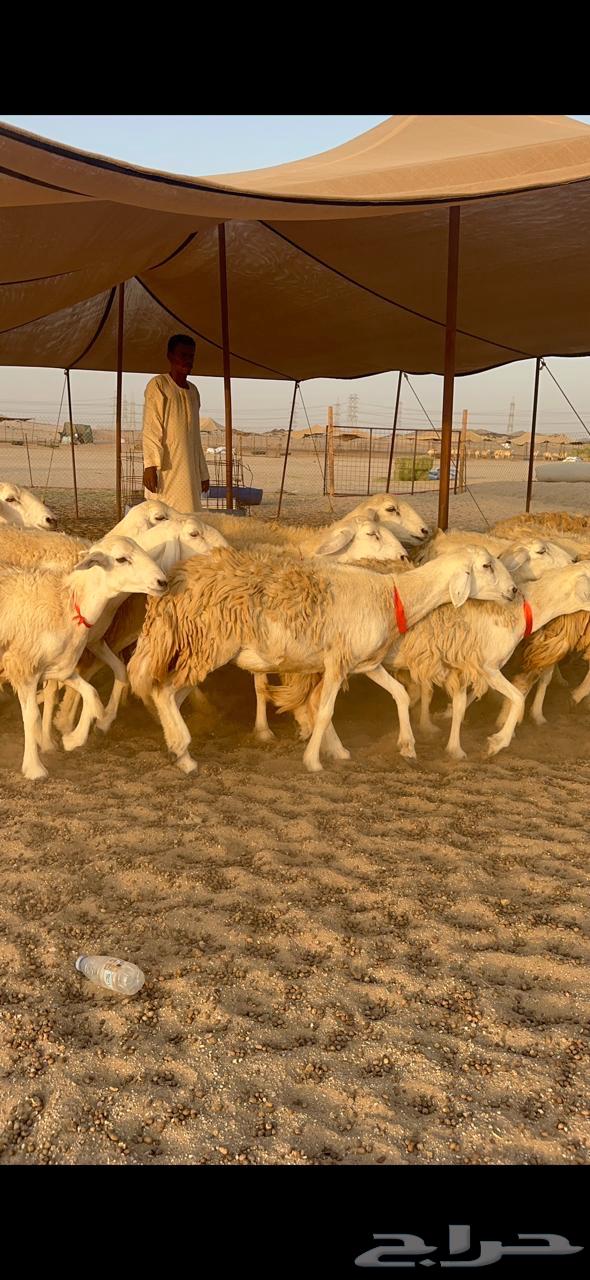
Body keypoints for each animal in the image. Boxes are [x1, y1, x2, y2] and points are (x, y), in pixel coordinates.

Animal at [0, 536, 168, 780]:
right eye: (121, 559)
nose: (163, 582)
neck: (67, 604)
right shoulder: (23, 665)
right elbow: (32, 716)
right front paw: (34, 767)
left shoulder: (60, 667)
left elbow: (91, 692)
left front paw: (77, 736)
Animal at [127, 545, 518, 776]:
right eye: (487, 565)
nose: (514, 591)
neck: (391, 595)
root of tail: (176, 579)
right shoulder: (337, 661)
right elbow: (325, 710)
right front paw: (314, 759)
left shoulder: (365, 663)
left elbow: (399, 694)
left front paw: (404, 747)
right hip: (208, 645)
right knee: (165, 691)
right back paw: (185, 754)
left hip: (197, 650)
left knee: (166, 694)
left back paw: (179, 750)